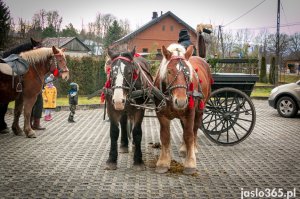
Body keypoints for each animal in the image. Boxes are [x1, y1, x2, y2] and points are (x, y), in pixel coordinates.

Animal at [154, 43, 212, 174]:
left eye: (188, 73)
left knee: (194, 128)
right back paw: (184, 148)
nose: (180, 101)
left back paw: (193, 148)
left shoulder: (190, 112)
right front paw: (163, 162)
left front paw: (190, 163)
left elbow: (189, 135)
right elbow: (165, 136)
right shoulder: (161, 115)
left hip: (199, 110)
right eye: (169, 71)